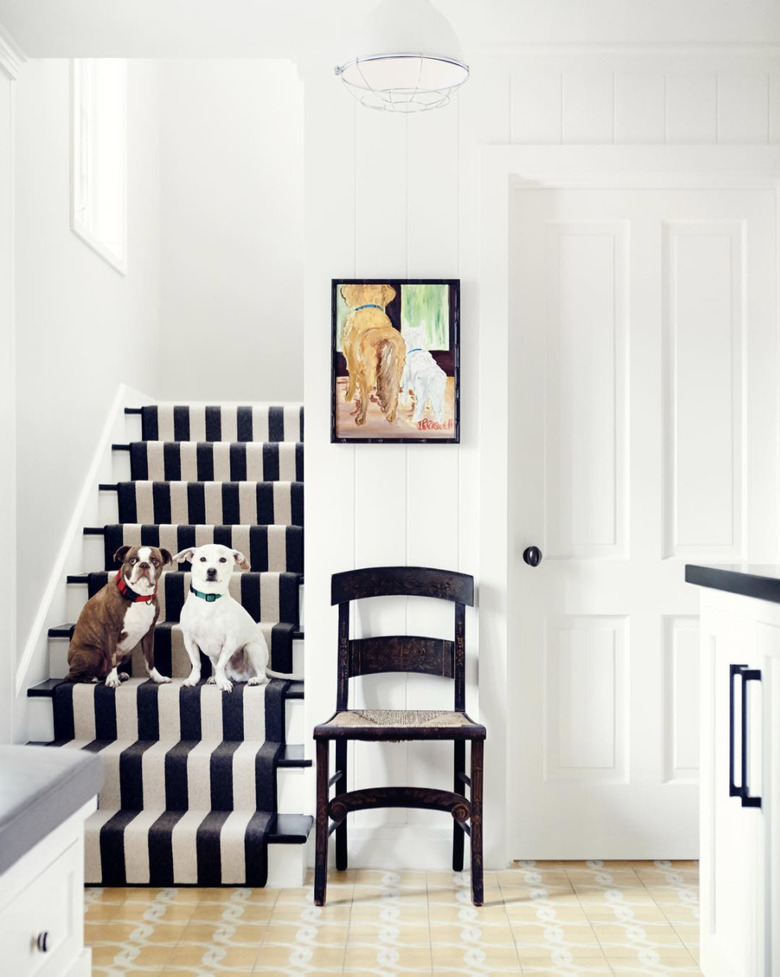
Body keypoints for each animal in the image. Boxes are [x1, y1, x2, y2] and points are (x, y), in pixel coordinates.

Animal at [66, 540, 172, 688]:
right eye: (132, 560)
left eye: (155, 561)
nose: (144, 564)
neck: (138, 596)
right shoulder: (111, 631)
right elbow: (112, 657)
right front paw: (112, 679)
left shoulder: (149, 633)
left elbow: (149, 659)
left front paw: (157, 677)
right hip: (94, 653)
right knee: (70, 676)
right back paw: (92, 678)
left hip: (126, 655)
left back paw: (119, 675)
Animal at [172, 540, 270, 692]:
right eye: (202, 559)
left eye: (223, 560)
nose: (211, 570)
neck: (209, 599)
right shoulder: (189, 640)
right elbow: (196, 664)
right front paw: (192, 680)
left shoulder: (229, 642)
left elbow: (220, 666)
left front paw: (222, 682)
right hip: (213, 655)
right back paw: (216, 678)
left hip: (252, 648)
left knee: (263, 676)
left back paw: (254, 680)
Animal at [342, 282, 406, 424]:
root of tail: (384, 337)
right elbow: (381, 381)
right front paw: (381, 395)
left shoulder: (351, 361)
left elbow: (352, 379)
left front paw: (348, 397)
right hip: (397, 367)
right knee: (394, 391)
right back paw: (391, 415)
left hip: (366, 370)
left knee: (365, 394)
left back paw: (360, 417)